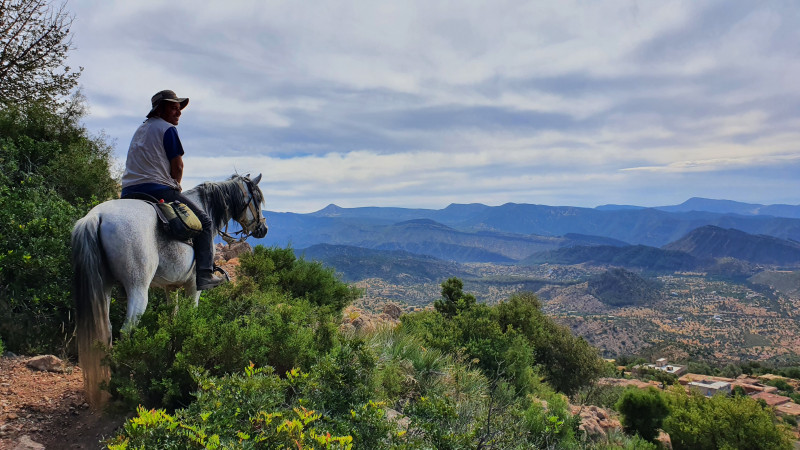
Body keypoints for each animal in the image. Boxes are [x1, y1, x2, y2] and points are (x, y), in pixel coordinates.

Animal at [70, 174, 268, 406]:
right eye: (257, 198)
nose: (263, 229)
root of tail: (97, 216)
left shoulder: (170, 288)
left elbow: (173, 320)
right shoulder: (193, 287)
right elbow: (190, 316)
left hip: (105, 287)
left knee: (108, 330)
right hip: (138, 289)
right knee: (126, 332)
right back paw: (121, 384)